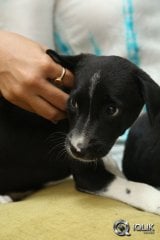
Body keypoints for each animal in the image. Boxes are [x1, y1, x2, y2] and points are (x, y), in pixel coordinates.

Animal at [0, 49, 160, 215]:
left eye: (111, 109)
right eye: (74, 103)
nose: (76, 149)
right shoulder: (88, 176)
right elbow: (133, 187)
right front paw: (156, 200)